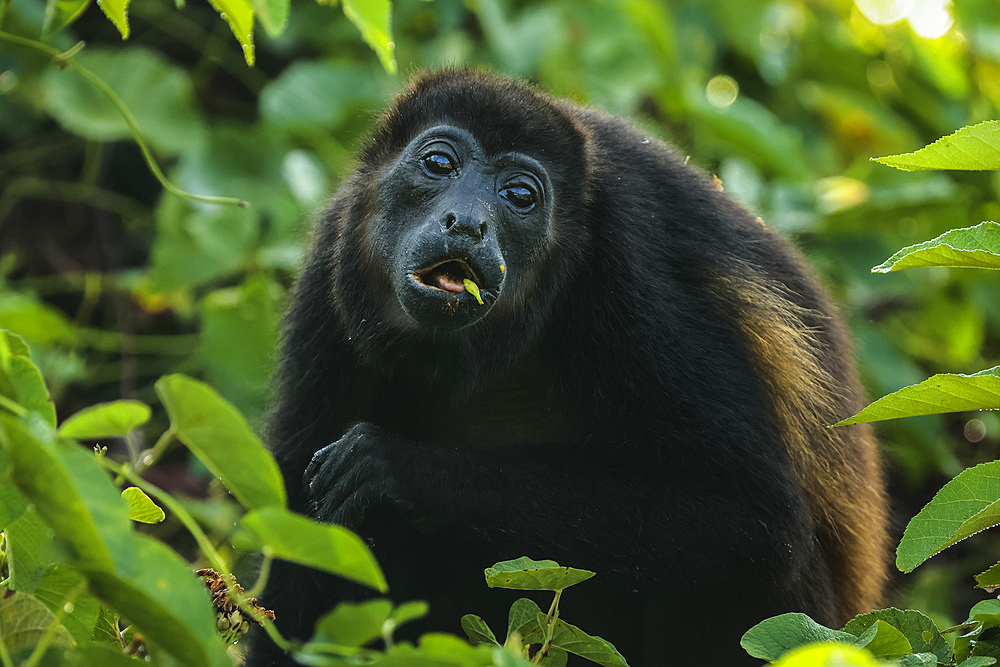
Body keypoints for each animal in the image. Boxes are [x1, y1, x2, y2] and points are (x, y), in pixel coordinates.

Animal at [252, 70, 892, 664]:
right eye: (438, 163)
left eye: (520, 196)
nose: (468, 222)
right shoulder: (332, 262)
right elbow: (295, 510)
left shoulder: (624, 274)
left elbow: (749, 509)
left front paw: (395, 467)